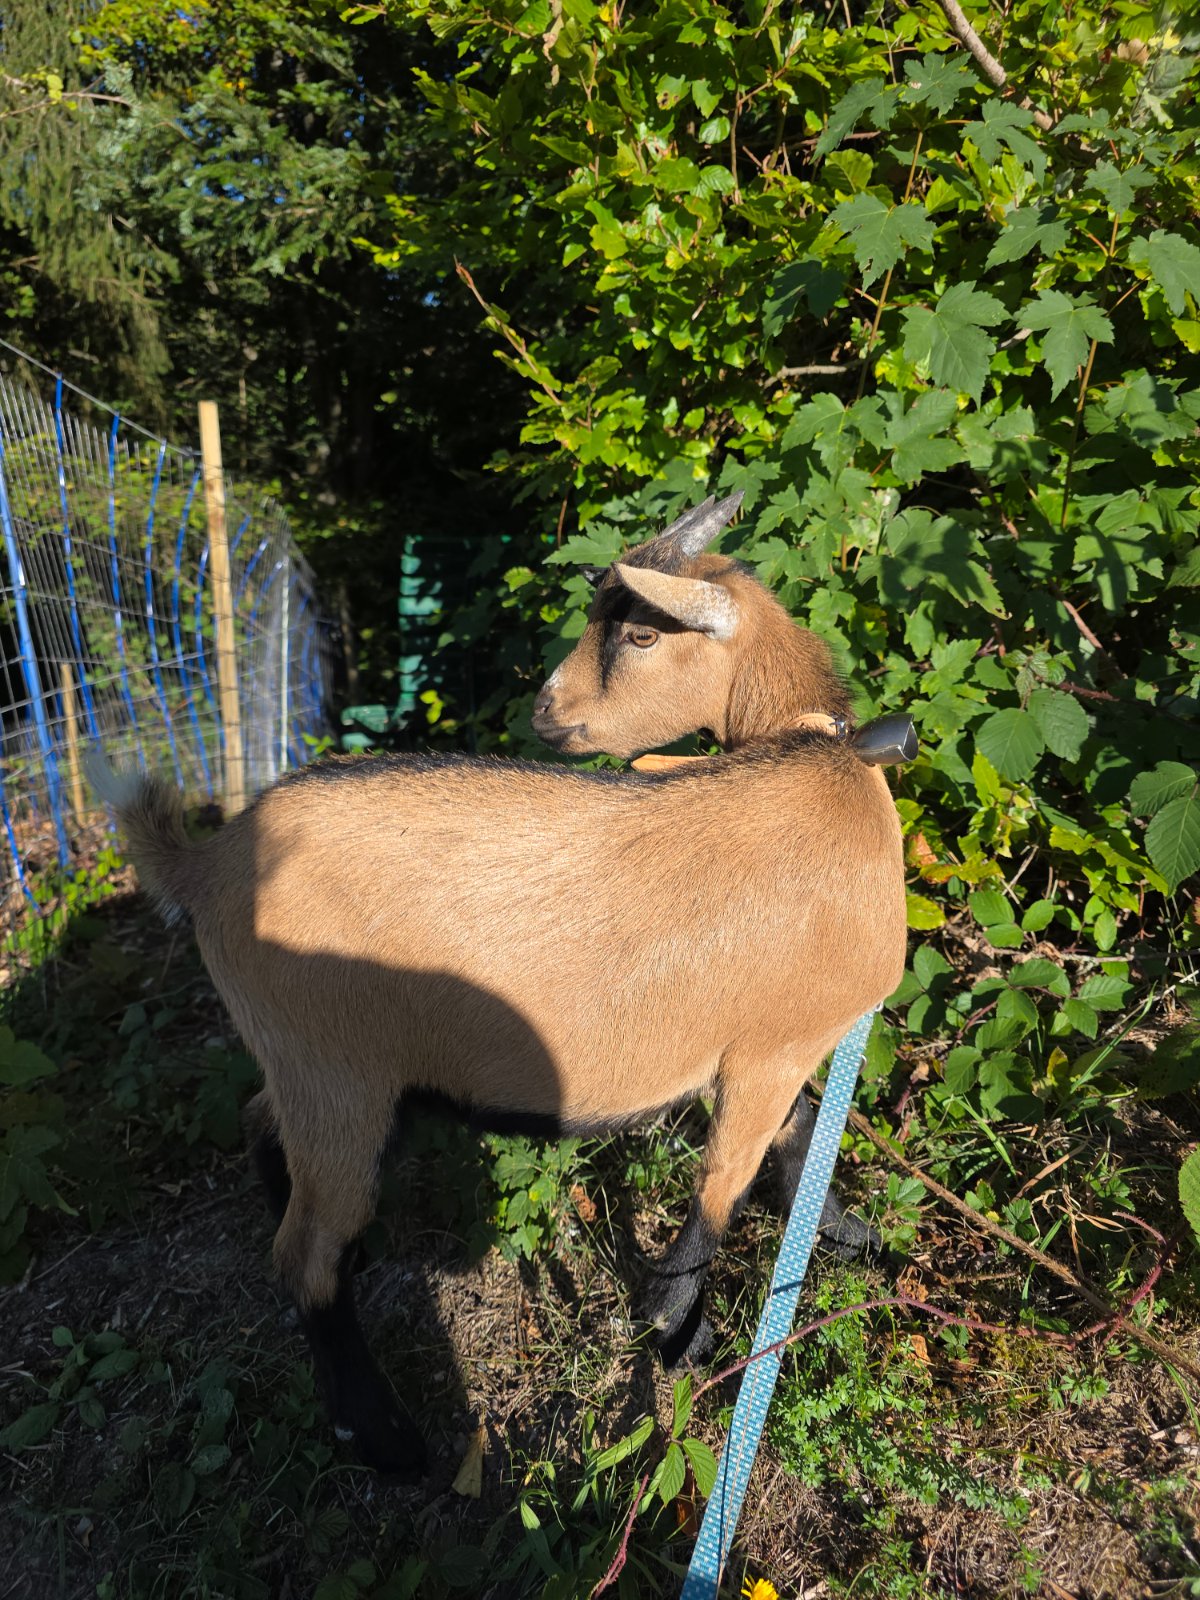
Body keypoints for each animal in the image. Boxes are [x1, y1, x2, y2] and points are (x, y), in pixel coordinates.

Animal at [88, 491, 907, 1477]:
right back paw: (383, 1434)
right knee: (303, 1257)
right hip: (338, 1072)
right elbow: (726, 1184)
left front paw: (845, 1238)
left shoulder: (773, 1046)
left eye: (640, 631)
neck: (822, 767)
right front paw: (677, 1329)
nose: (545, 713)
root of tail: (208, 863)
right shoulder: (766, 1049)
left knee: (263, 1131)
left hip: (310, 1064)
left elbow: (793, 1139)